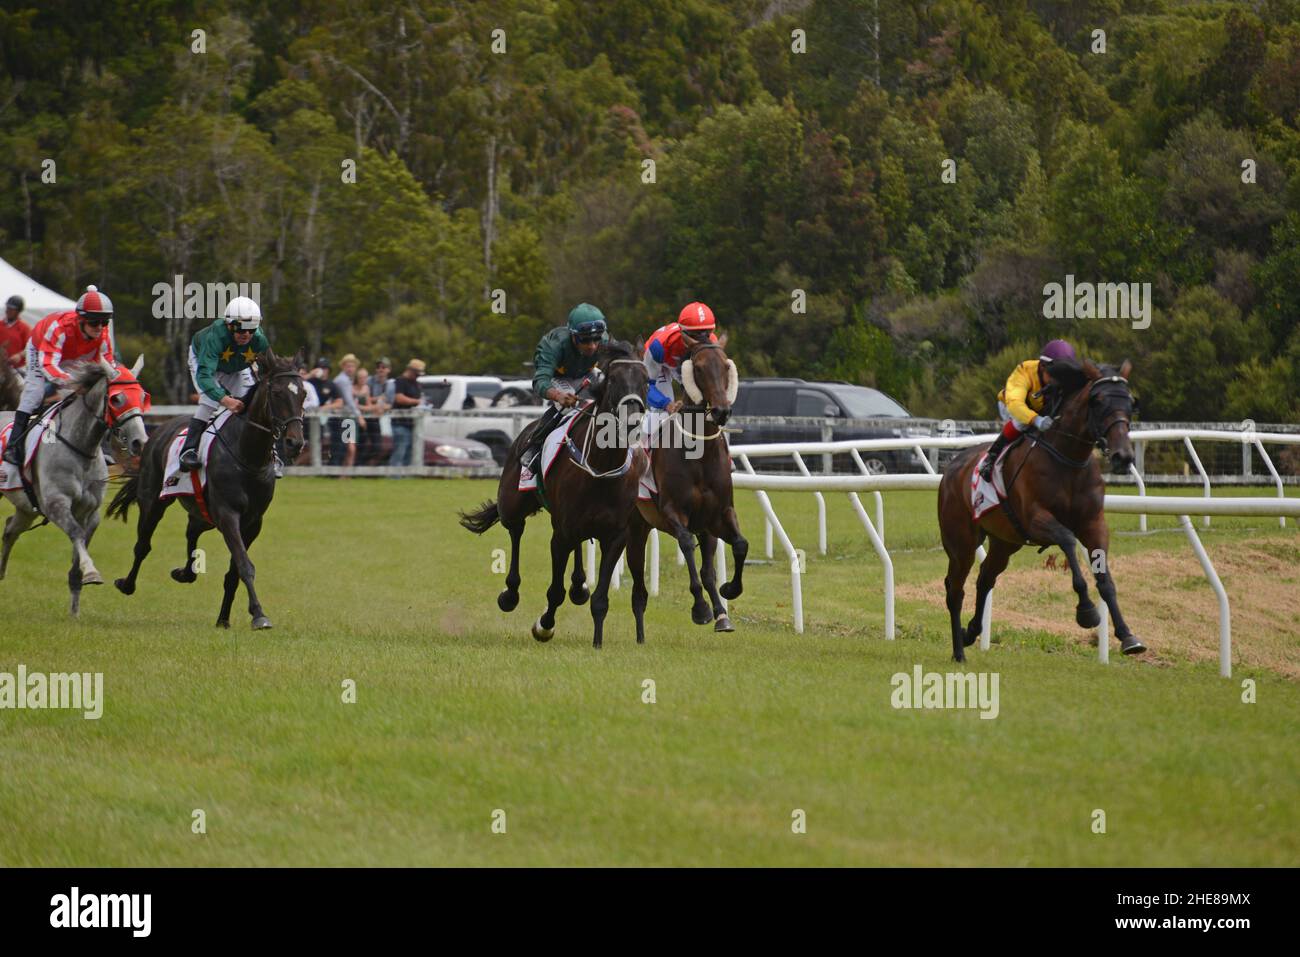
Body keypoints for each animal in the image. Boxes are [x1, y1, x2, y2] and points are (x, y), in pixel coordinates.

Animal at [1, 356, 149, 616]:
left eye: (142, 397)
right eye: (116, 399)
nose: (139, 442)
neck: (81, 448)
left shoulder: (90, 512)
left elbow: (78, 552)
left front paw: (74, 611)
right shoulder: (56, 504)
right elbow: (76, 533)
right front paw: (92, 572)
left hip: (26, 508)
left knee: (10, 529)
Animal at [108, 348, 306, 631]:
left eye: (303, 394)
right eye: (277, 393)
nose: (295, 443)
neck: (248, 456)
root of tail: (157, 433)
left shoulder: (252, 522)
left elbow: (234, 572)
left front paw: (224, 619)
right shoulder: (228, 515)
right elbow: (244, 565)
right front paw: (259, 615)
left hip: (202, 513)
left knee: (191, 532)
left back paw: (184, 573)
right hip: (153, 501)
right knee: (142, 545)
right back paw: (126, 584)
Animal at [462, 338, 655, 650]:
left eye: (646, 380)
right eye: (613, 379)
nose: (632, 419)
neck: (601, 466)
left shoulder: (616, 535)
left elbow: (600, 597)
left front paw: (597, 641)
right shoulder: (561, 533)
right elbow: (555, 591)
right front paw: (544, 625)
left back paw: (579, 585)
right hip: (511, 504)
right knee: (515, 531)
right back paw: (510, 594)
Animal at [626, 340, 748, 631]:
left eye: (726, 365)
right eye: (699, 368)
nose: (721, 410)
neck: (700, 456)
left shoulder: (719, 515)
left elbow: (739, 546)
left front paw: (728, 594)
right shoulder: (673, 511)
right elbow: (686, 543)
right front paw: (701, 608)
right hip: (634, 526)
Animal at [941, 356, 1144, 660]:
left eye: (1130, 401)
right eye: (1097, 401)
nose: (1123, 456)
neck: (1069, 461)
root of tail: (952, 468)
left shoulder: (1094, 524)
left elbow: (1104, 578)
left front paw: (1128, 636)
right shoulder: (1035, 520)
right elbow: (1067, 540)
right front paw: (1086, 611)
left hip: (1005, 541)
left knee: (985, 578)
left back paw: (971, 632)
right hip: (961, 543)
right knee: (955, 589)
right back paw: (958, 652)